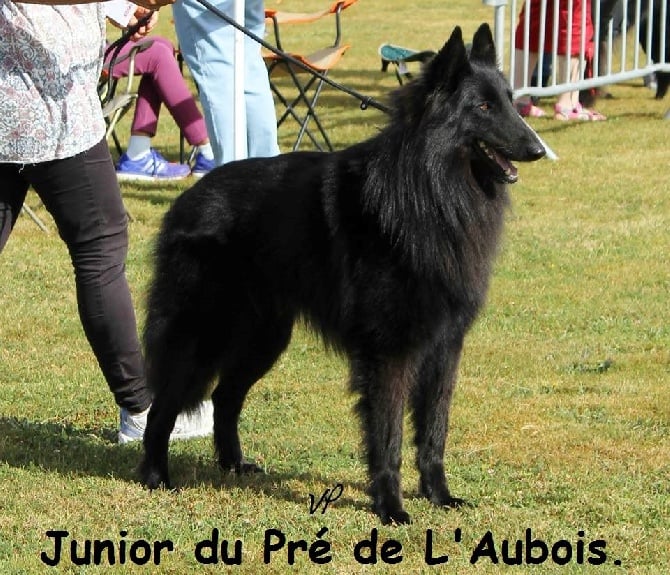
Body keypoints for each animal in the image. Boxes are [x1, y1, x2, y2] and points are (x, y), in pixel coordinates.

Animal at [140, 23, 544, 528]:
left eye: (509, 100)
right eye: (484, 107)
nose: (538, 149)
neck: (429, 190)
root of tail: (187, 198)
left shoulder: (445, 348)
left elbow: (434, 430)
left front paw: (439, 495)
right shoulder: (389, 354)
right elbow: (387, 436)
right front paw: (390, 507)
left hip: (263, 339)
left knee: (226, 398)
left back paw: (234, 464)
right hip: (205, 333)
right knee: (165, 404)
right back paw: (155, 476)